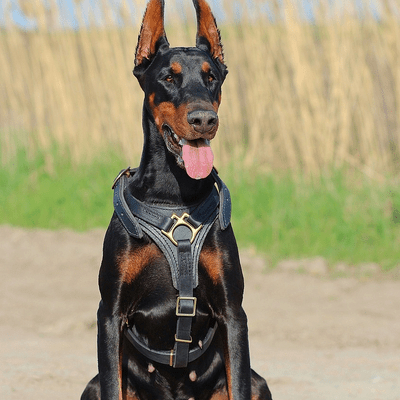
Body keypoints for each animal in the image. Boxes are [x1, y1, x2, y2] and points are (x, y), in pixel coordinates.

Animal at [82, 1, 272, 398]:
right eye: (169, 78)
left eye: (211, 77)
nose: (204, 119)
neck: (174, 196)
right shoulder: (110, 313)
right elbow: (111, 379)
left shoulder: (233, 312)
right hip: (90, 386)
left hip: (260, 382)